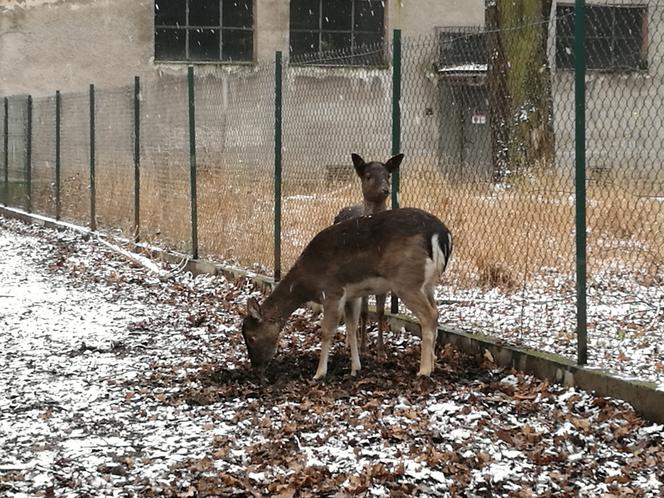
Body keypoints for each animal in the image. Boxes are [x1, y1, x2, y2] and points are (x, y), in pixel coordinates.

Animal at [241, 208, 454, 380]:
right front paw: (355, 368)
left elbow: (327, 331)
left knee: (429, 315)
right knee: (436, 312)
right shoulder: (352, 295)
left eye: (251, 337)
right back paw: (433, 363)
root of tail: (442, 235)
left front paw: (319, 373)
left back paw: (424, 370)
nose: (256, 367)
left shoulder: (332, 291)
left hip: (407, 281)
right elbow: (351, 327)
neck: (308, 282)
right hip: (428, 284)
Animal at [334, 154, 402, 356]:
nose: (385, 189)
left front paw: (381, 351)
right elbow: (364, 312)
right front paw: (363, 348)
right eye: (368, 176)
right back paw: (350, 343)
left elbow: (380, 312)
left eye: (388, 174)